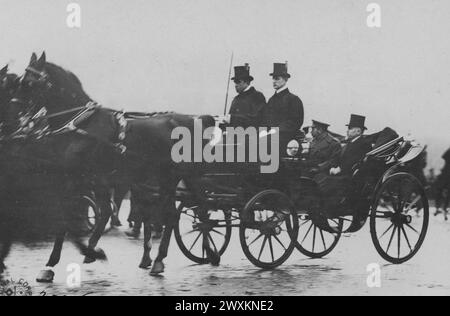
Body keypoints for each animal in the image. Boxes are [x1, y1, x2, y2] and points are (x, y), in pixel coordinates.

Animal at [1, 52, 216, 278]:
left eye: (29, 83)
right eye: (20, 82)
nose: (12, 117)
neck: (84, 125)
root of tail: (193, 121)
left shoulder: (83, 179)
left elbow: (75, 214)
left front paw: (67, 257)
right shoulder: (94, 179)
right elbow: (100, 212)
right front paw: (90, 251)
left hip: (176, 176)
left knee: (184, 212)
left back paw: (164, 258)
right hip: (172, 178)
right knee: (189, 211)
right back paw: (196, 253)